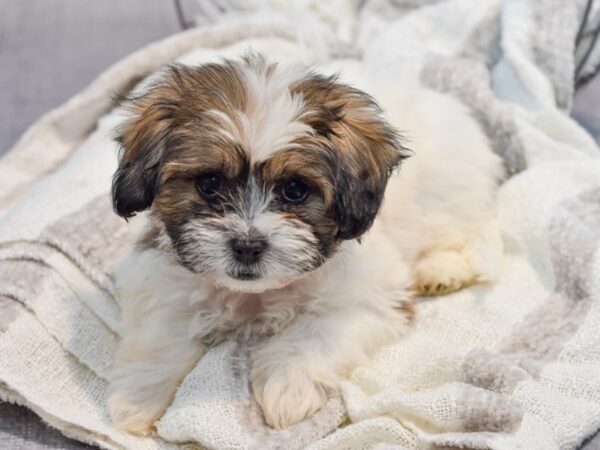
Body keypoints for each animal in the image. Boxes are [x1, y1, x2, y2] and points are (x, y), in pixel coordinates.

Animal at [109, 52, 506, 432]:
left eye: (295, 190)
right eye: (209, 183)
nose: (247, 246)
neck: (256, 295)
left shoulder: (363, 299)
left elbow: (314, 334)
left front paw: (288, 387)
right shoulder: (162, 282)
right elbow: (160, 336)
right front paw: (137, 399)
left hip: (448, 190)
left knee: (456, 229)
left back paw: (441, 268)